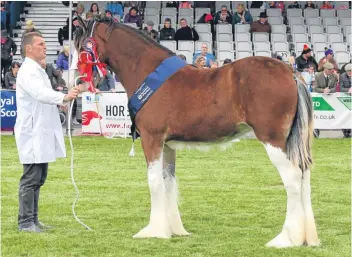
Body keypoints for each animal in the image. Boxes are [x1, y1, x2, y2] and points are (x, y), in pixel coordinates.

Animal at [74, 18, 320, 246]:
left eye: (83, 46)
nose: (78, 79)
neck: (147, 72)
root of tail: (290, 72)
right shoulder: (167, 145)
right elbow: (168, 181)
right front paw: (173, 229)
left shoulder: (152, 138)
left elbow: (154, 182)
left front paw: (154, 231)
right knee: (304, 175)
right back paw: (307, 237)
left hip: (273, 140)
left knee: (292, 178)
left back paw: (287, 238)